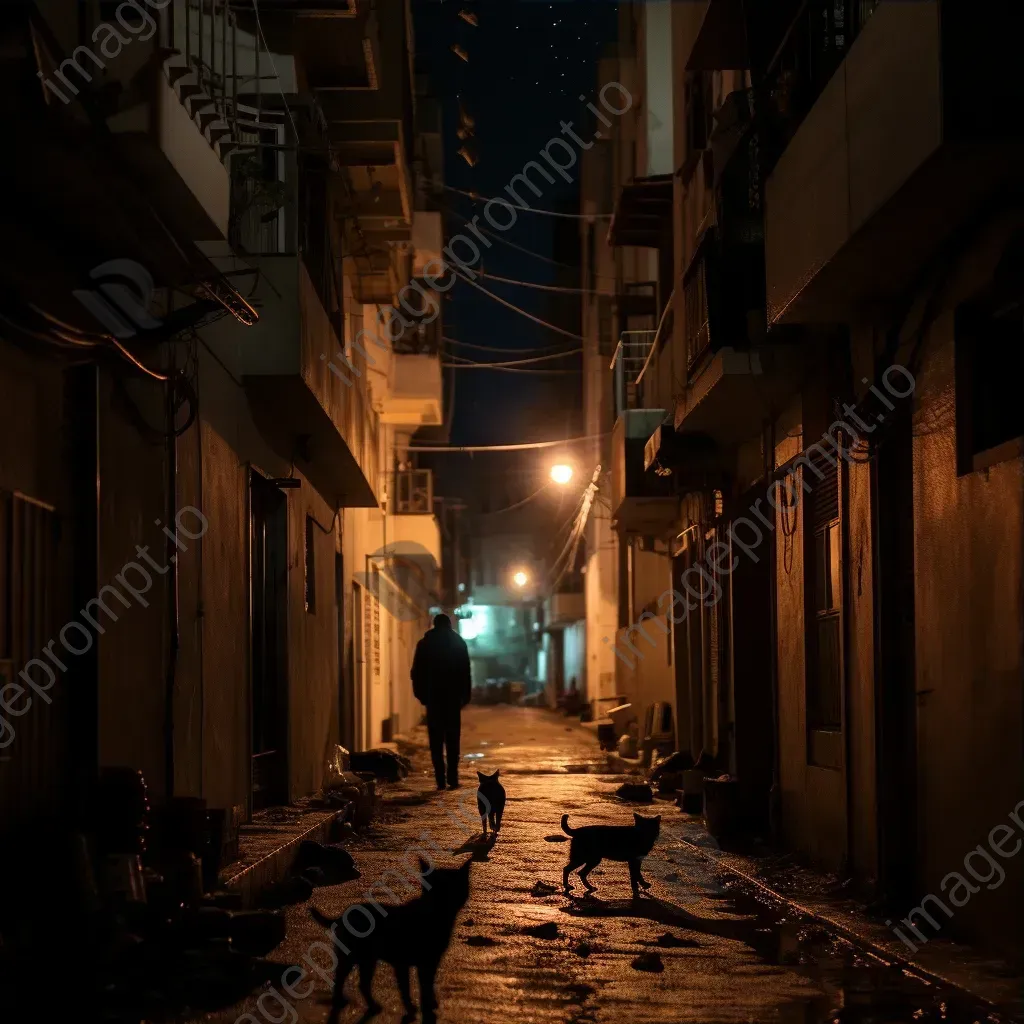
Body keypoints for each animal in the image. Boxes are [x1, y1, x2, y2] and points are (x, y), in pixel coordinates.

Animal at [311, 856, 471, 1024]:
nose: (440, 899)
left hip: (368, 959)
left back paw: (372, 1005)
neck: (435, 916)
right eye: (434, 888)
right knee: (341, 977)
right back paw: (340, 1001)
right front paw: (415, 1009)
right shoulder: (403, 963)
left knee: (363, 983)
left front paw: (429, 1004)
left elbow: (428, 985)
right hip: (351, 957)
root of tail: (342, 916)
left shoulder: (431, 962)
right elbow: (408, 988)